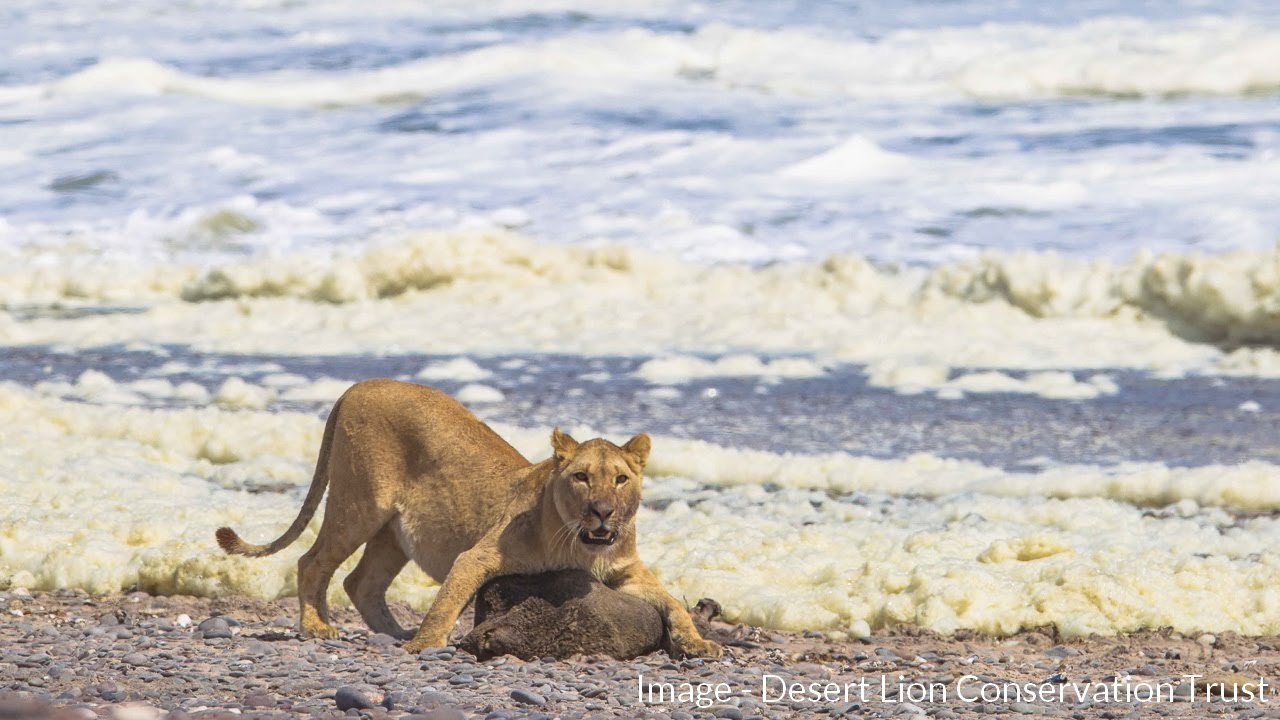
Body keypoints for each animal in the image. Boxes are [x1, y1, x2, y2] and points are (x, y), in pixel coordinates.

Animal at [215, 378, 721, 658]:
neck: (584, 546)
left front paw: (700, 644)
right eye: (580, 477)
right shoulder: (477, 557)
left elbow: (673, 602)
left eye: (620, 479)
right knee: (313, 561)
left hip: (392, 533)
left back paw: (394, 631)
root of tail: (359, 385)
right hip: (359, 503)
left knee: (360, 582)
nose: (602, 512)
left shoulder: (626, 572)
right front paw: (425, 646)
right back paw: (319, 627)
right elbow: (448, 600)